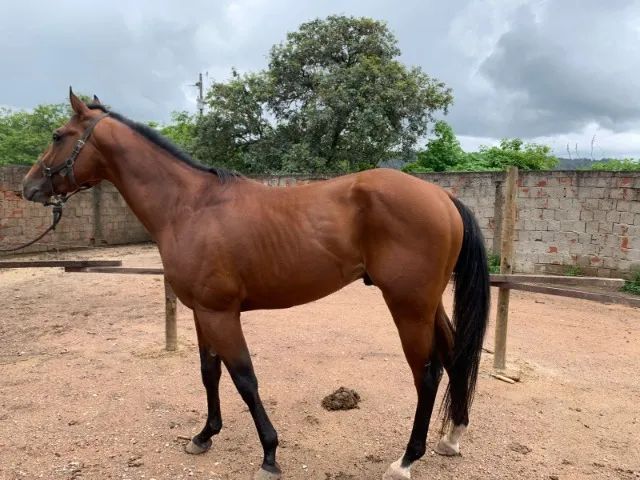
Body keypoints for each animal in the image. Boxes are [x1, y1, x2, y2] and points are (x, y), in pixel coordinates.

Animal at [22, 89, 490, 480]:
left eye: (58, 135)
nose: (29, 187)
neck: (189, 207)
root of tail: (442, 197)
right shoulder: (202, 312)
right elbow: (209, 372)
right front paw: (204, 436)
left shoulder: (221, 313)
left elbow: (244, 379)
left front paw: (269, 454)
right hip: (428, 304)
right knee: (454, 358)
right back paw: (451, 438)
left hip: (408, 307)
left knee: (427, 374)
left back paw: (407, 459)